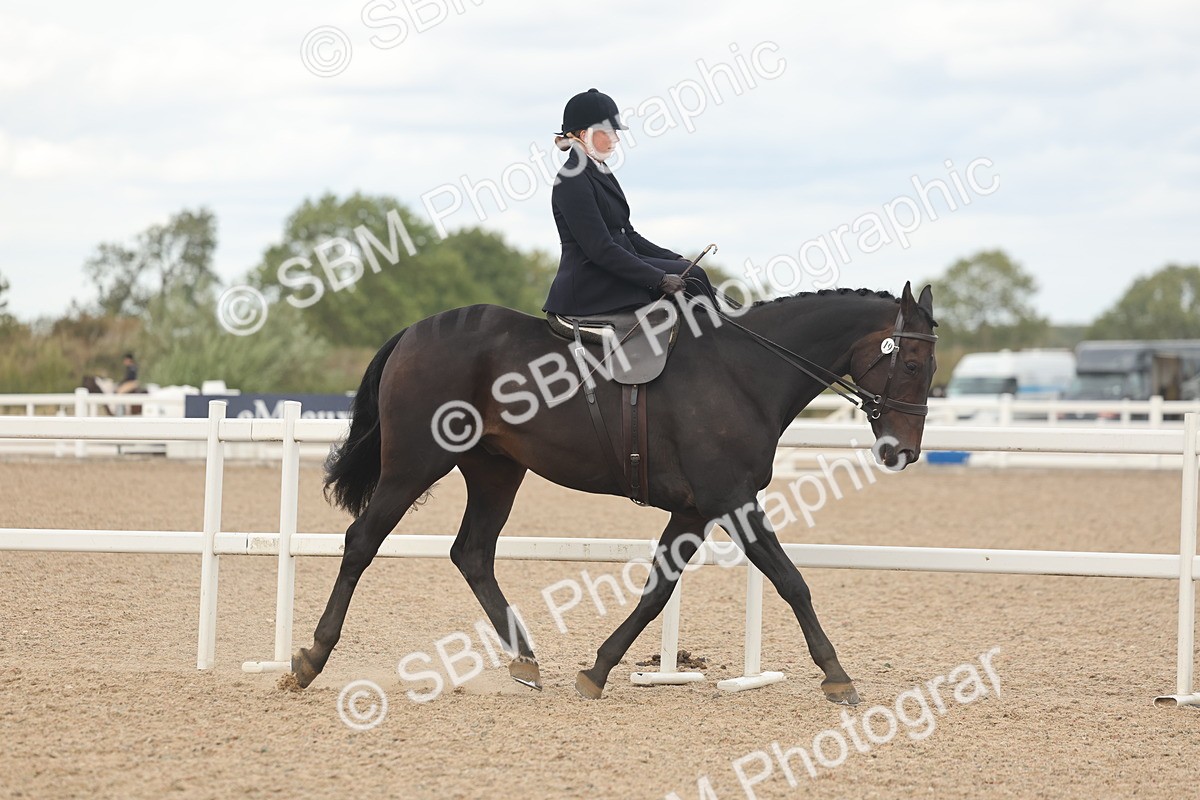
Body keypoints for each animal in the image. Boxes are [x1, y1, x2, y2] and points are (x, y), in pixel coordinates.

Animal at [290, 282, 938, 705]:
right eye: (909, 363)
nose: (901, 452)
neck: (744, 372)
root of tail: (417, 330)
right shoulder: (730, 498)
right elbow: (790, 580)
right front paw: (837, 675)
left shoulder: (694, 510)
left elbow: (657, 590)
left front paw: (597, 670)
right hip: (414, 464)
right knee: (362, 541)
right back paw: (309, 660)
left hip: (495, 471)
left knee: (471, 553)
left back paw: (525, 661)